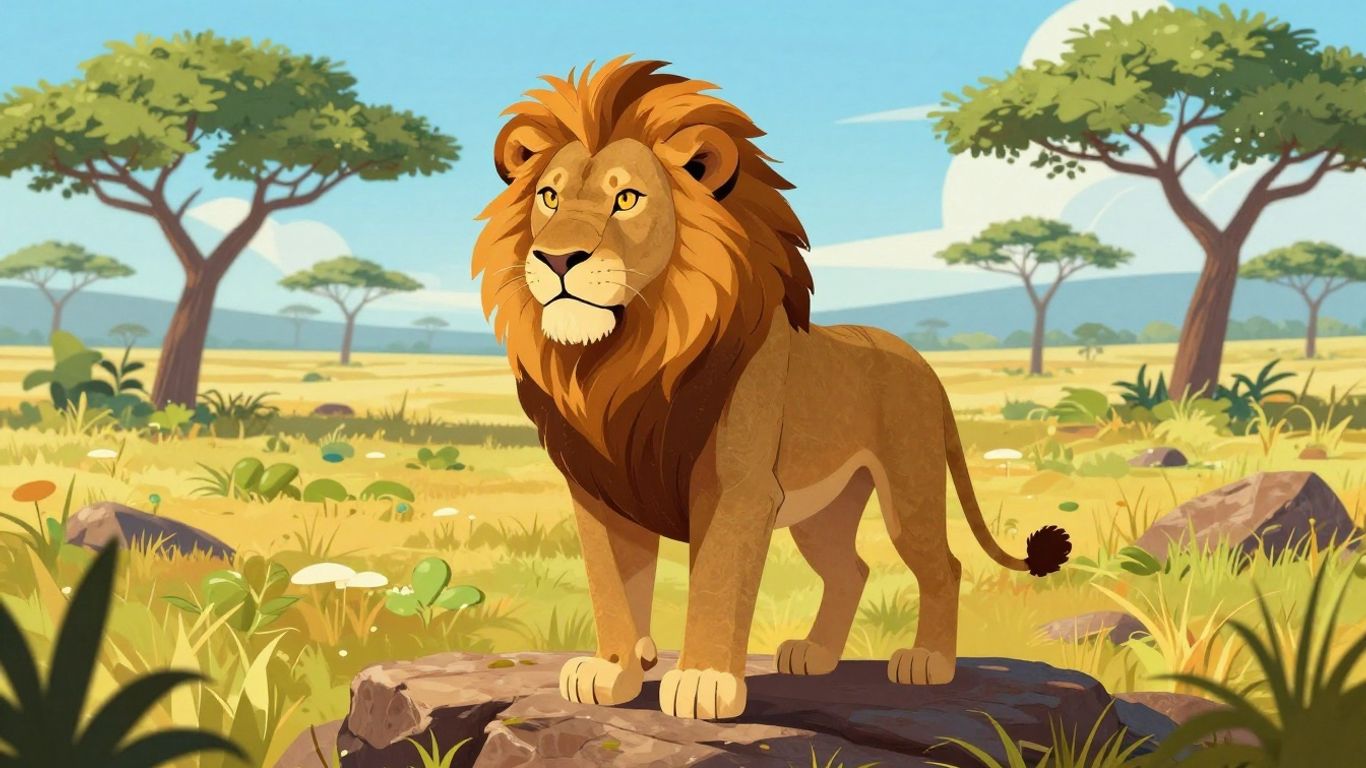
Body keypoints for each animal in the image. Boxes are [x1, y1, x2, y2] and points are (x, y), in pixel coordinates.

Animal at [472, 57, 1071, 721]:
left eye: (626, 198)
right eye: (549, 197)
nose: (555, 259)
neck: (623, 357)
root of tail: (920, 361)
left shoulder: (738, 487)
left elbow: (715, 580)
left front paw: (704, 681)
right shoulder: (598, 488)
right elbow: (611, 585)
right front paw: (613, 670)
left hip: (909, 487)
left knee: (943, 565)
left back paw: (927, 662)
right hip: (824, 508)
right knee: (851, 570)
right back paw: (816, 654)